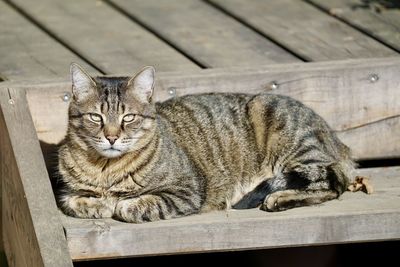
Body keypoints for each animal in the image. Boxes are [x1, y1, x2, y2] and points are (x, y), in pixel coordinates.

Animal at [57, 63, 354, 224]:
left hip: (291, 140)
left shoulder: (187, 191)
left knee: (333, 182)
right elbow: (73, 201)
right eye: (96, 117)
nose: (111, 137)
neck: (105, 168)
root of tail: (338, 141)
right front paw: (96, 204)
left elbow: (134, 205)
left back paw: (278, 198)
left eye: (128, 117)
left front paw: (118, 204)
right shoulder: (68, 193)